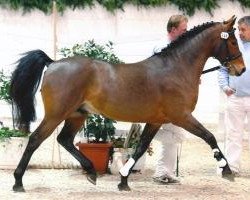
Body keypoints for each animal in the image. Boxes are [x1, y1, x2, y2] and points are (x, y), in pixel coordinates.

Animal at [10, 16, 245, 192]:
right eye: (233, 41)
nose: (241, 69)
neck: (176, 68)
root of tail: (53, 63)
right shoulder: (182, 116)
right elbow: (209, 136)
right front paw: (226, 170)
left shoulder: (156, 121)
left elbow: (140, 148)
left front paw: (123, 180)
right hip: (56, 115)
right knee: (35, 139)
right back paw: (18, 182)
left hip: (77, 114)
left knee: (65, 140)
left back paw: (91, 172)